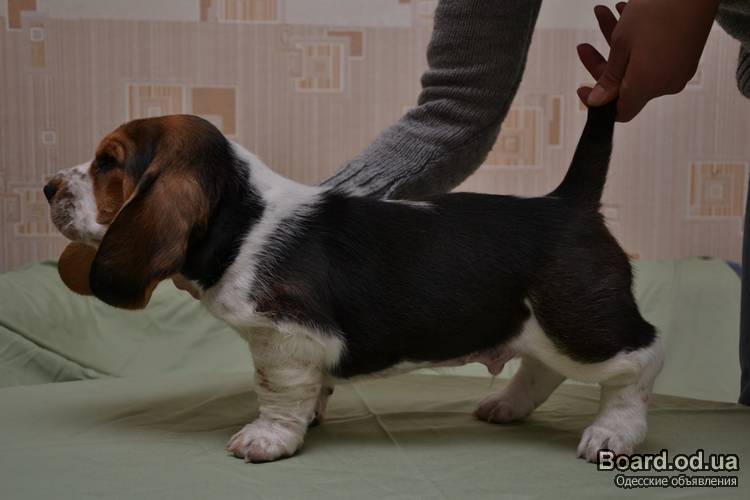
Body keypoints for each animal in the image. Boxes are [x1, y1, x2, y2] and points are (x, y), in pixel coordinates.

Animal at [44, 102, 663, 463]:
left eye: (107, 163)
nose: (48, 187)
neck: (242, 219)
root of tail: (569, 203)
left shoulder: (283, 338)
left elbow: (276, 392)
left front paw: (267, 438)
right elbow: (311, 388)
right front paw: (312, 415)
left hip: (579, 322)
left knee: (639, 362)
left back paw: (614, 433)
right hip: (544, 326)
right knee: (541, 367)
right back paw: (507, 405)